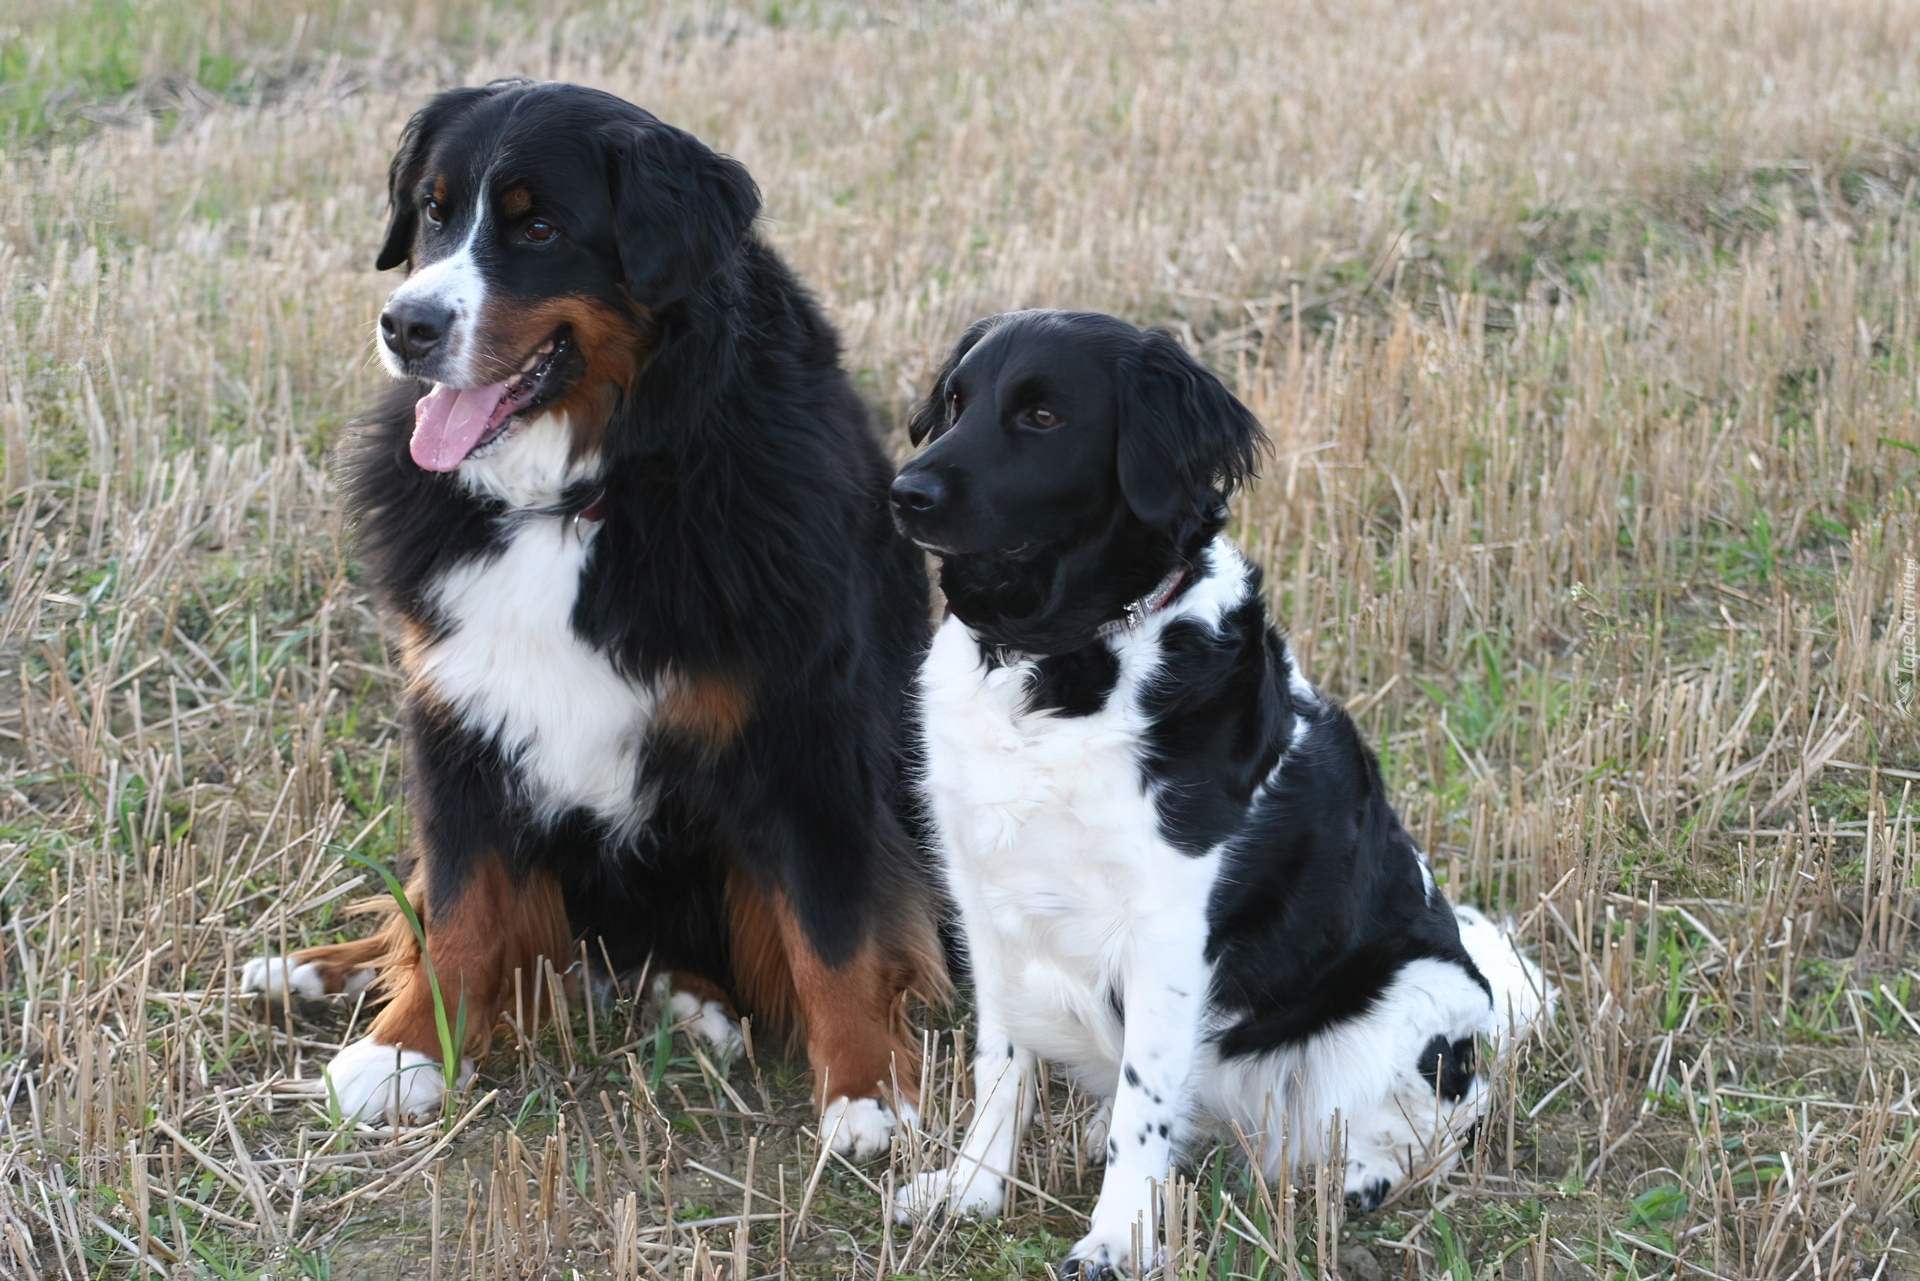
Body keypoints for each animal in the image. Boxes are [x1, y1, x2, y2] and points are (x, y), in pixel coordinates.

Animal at [240, 84, 944, 1160]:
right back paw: (316, 972)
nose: (404, 324)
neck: (585, 494)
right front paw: (405, 1051)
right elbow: (461, 907)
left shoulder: (802, 729)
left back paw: (693, 1005)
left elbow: (833, 925)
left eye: (539, 228)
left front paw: (868, 1091)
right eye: (433, 212)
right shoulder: (460, 714)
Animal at [890, 307, 1551, 1275]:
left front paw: (1118, 1236)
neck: (1058, 661)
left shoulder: (1167, 930)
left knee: (1437, 1123)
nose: (906, 492)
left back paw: (1353, 1180)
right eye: (954, 402)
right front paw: (972, 1188)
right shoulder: (985, 903)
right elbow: (1000, 1067)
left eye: (1043, 416)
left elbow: (1144, 1105)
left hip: (1409, 1006)